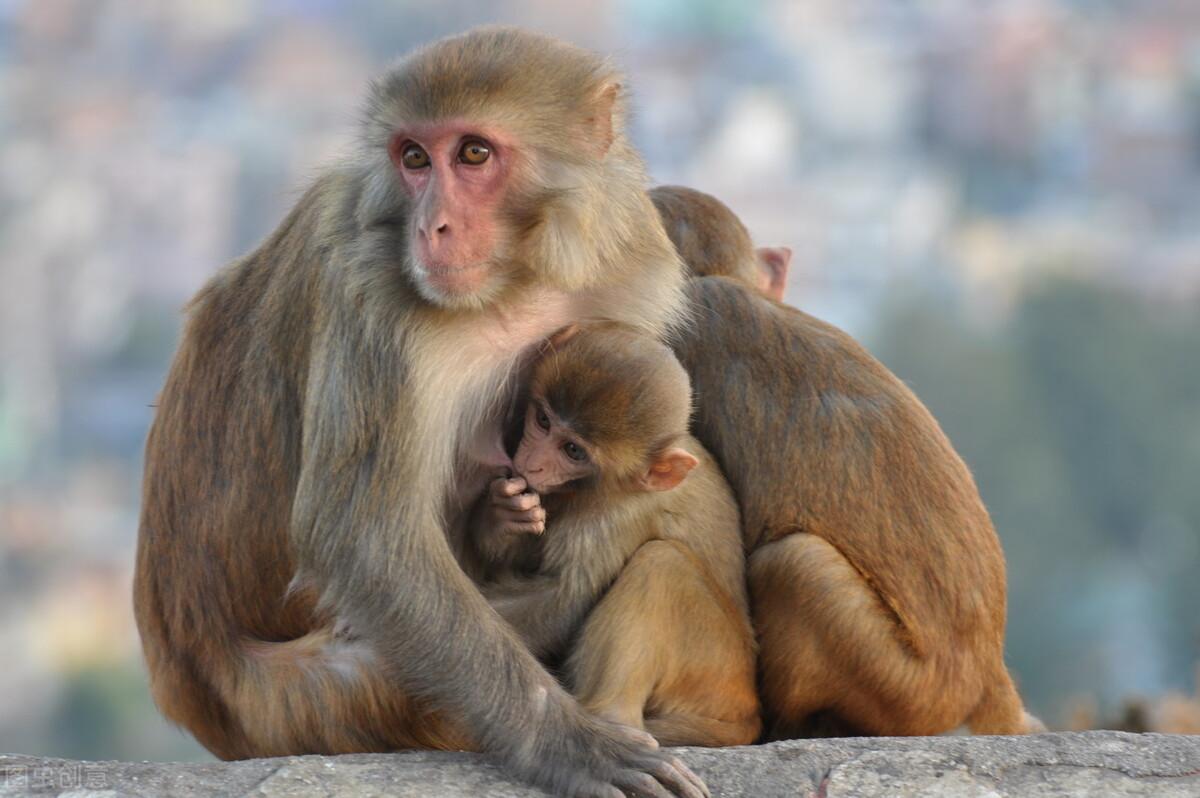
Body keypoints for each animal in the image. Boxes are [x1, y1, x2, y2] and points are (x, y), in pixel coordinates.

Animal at [136, 26, 710, 796]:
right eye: (414, 158)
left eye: (473, 153)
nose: (430, 227)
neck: (521, 283)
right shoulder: (373, 290)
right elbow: (363, 533)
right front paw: (566, 742)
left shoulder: (626, 272)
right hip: (297, 702)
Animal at [460, 324, 758, 748]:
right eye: (544, 421)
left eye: (573, 450)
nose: (531, 462)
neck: (612, 488)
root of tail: (748, 712)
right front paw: (502, 514)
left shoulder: (615, 519)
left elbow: (564, 599)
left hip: (713, 669)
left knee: (662, 564)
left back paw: (613, 719)